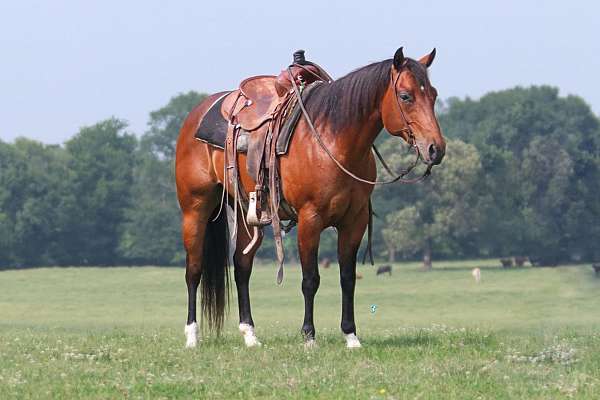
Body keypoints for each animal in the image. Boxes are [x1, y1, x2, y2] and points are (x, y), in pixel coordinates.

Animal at [173, 46, 446, 346]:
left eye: (433, 95)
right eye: (406, 96)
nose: (436, 149)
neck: (333, 142)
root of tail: (196, 116)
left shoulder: (355, 221)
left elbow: (347, 277)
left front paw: (351, 336)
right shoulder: (310, 219)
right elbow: (310, 279)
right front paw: (309, 337)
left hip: (247, 212)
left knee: (242, 266)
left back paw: (250, 335)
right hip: (195, 209)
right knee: (194, 270)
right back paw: (192, 336)